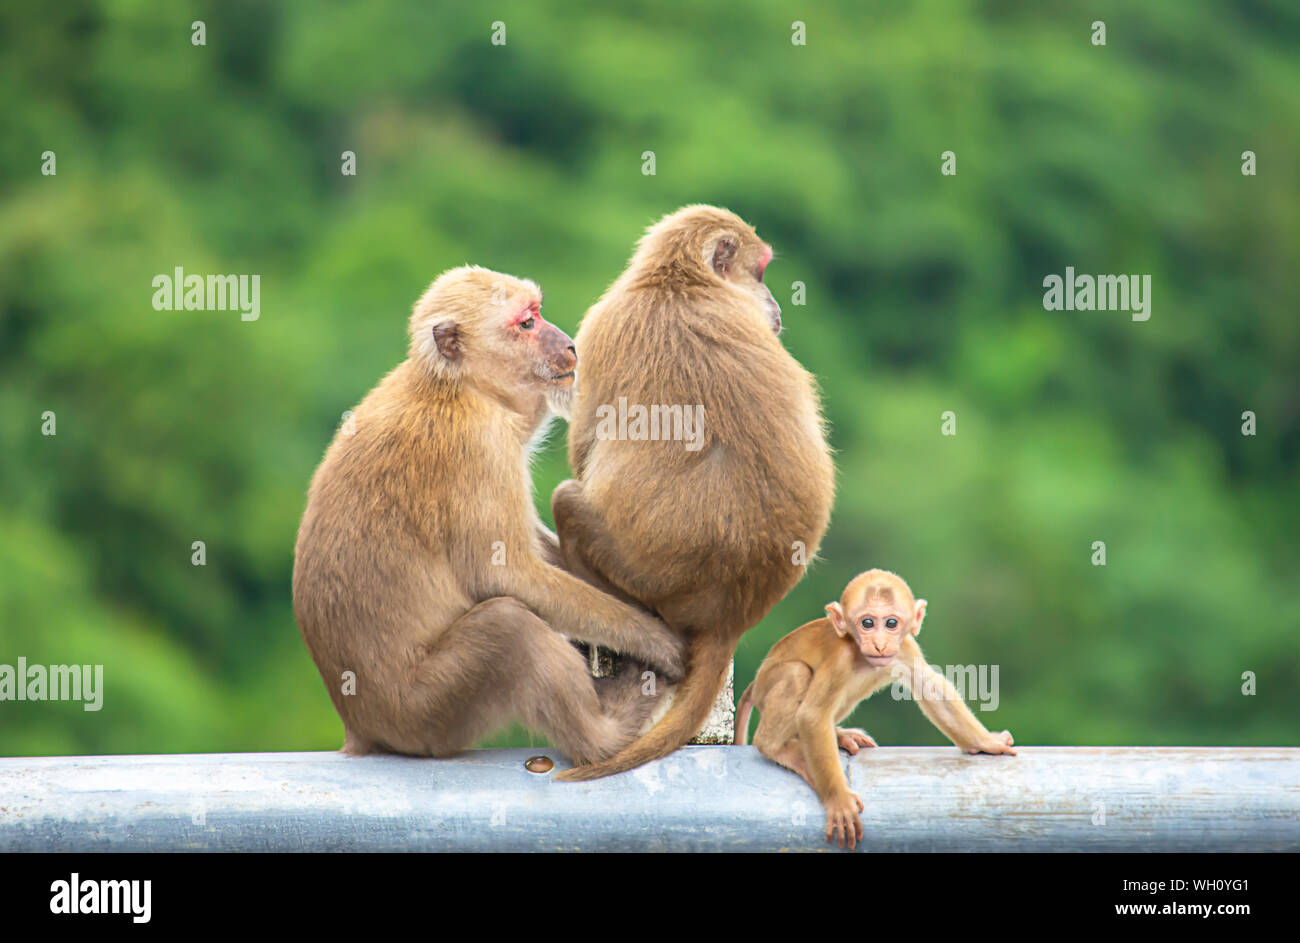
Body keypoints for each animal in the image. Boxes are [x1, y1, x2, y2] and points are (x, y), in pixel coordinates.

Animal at [291, 265, 686, 764]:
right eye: (526, 324)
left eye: (537, 313)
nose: (570, 345)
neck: (459, 387)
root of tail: (359, 725)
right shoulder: (480, 447)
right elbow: (503, 574)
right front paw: (652, 637)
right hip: (426, 711)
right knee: (509, 627)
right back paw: (605, 737)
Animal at [548, 208, 832, 780]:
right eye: (762, 272)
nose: (775, 306)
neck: (679, 282)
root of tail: (731, 614)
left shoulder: (602, 324)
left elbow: (583, 448)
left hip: (645, 576)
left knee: (568, 500)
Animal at [733, 569, 1013, 848]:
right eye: (867, 623)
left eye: (891, 623)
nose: (879, 643)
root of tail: (756, 682)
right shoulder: (842, 659)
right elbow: (812, 716)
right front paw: (839, 801)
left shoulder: (906, 648)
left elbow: (931, 689)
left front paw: (986, 741)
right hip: (770, 684)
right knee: (797, 673)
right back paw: (775, 746)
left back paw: (838, 735)